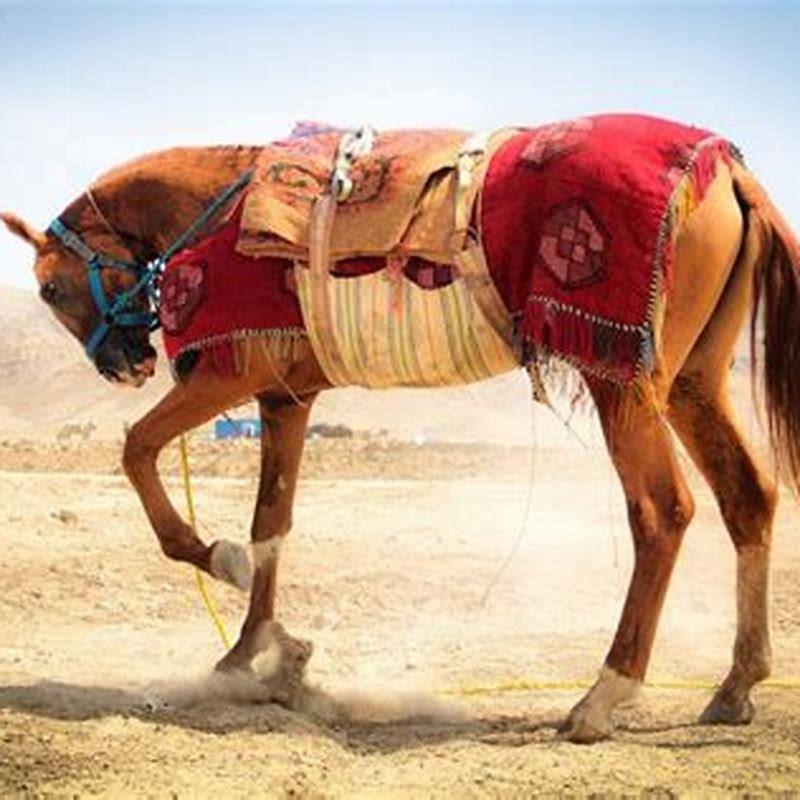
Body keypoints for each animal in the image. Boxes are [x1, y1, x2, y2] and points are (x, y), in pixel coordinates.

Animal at [2, 122, 799, 744]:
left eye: (50, 288)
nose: (124, 366)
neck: (219, 212)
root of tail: (723, 167)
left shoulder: (226, 378)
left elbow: (138, 451)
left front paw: (220, 566)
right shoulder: (283, 398)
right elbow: (271, 526)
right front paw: (264, 655)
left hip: (622, 380)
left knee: (663, 512)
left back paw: (603, 697)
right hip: (693, 382)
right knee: (747, 497)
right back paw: (736, 685)